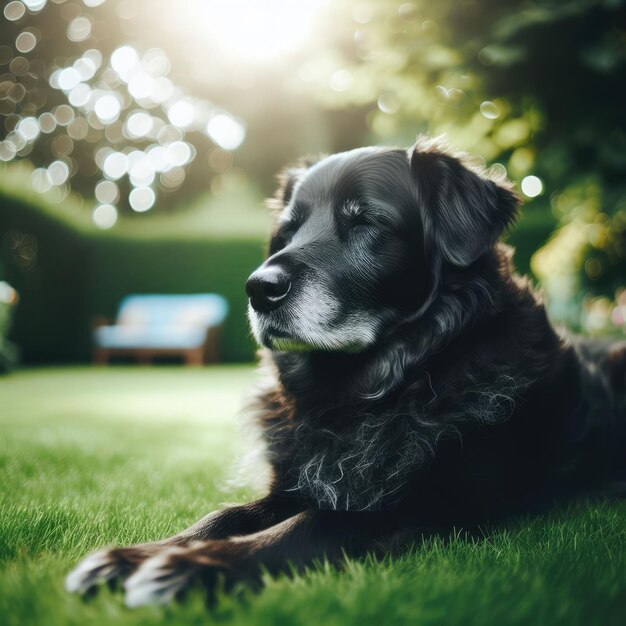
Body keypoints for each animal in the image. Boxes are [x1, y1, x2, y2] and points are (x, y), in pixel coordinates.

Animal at [66, 135, 620, 604]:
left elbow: (312, 524)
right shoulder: (293, 484)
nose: (258, 288)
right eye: (287, 232)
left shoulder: (431, 505)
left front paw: (196, 567)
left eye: (365, 222)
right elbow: (223, 515)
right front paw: (135, 556)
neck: (365, 393)